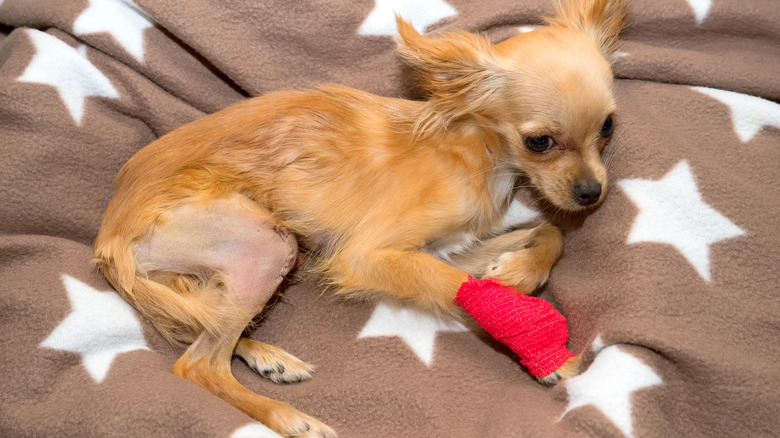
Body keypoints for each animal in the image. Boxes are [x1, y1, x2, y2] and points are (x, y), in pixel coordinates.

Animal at [93, 1, 628, 436]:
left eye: (607, 127)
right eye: (539, 142)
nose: (591, 193)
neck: (474, 150)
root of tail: (110, 235)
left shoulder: (451, 246)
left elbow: (550, 231)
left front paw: (516, 272)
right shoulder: (369, 255)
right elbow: (449, 283)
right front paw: (525, 325)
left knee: (205, 326)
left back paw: (266, 357)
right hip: (266, 243)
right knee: (197, 365)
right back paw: (290, 418)